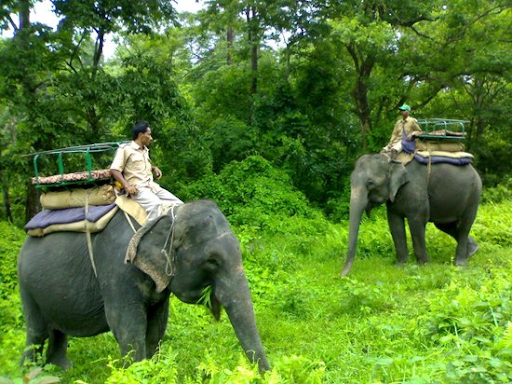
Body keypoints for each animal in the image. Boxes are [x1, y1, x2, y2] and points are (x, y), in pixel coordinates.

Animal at [18, 200, 270, 374]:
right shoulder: (117, 268)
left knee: (56, 330)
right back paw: (28, 372)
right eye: (212, 260)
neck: (166, 217)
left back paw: (62, 369)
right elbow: (126, 326)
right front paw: (136, 374)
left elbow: (156, 327)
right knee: (38, 332)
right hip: (26, 284)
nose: (267, 375)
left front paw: (153, 371)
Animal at [342, 154, 482, 278]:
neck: (391, 159)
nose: (342, 276)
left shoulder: (415, 189)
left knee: (465, 224)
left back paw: (460, 264)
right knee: (445, 225)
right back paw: (472, 251)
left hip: (473, 194)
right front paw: (400, 266)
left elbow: (417, 221)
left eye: (370, 182)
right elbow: (395, 224)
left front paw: (424, 265)